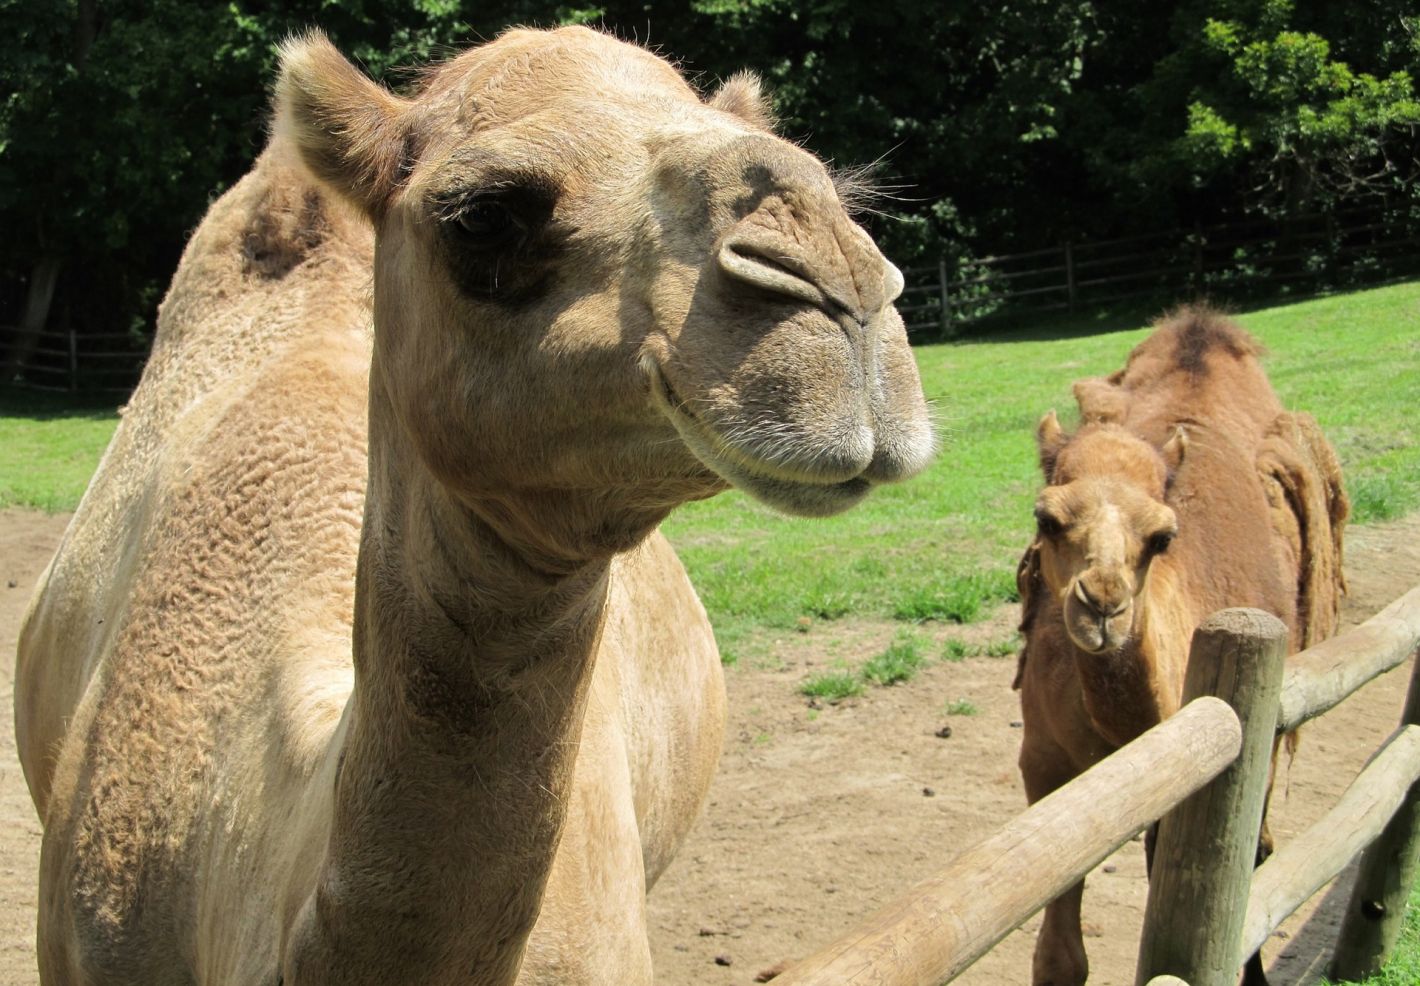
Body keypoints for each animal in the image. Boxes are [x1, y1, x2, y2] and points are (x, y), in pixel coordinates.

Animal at [1016, 309, 1346, 986]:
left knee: (1256, 849)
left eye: (1162, 536)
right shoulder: (1042, 758)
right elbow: (1059, 954)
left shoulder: (1248, 746)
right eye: (1047, 519)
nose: (1104, 602)